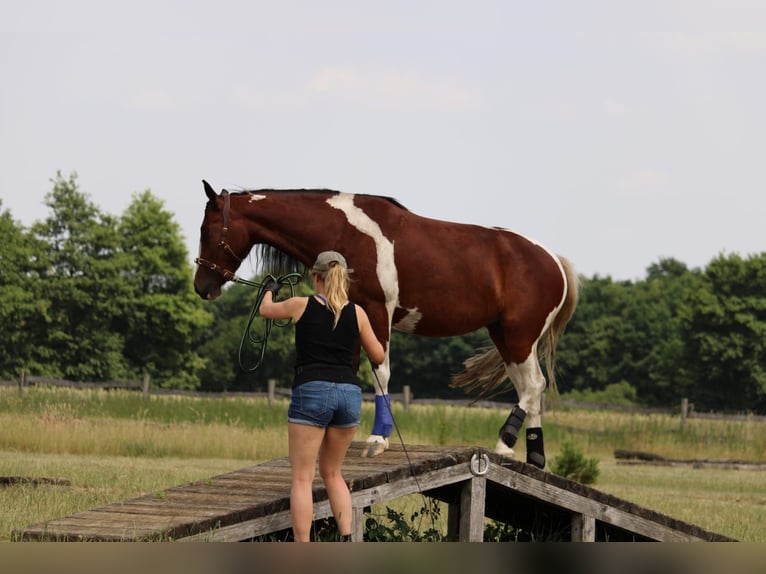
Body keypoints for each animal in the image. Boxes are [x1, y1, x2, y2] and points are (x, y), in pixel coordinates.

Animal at [193, 180, 578, 468]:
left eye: (207, 230)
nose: (202, 287)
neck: (345, 232)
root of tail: (553, 259)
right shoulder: (350, 314)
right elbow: (348, 372)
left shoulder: (377, 311)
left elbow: (380, 371)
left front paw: (378, 439)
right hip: (504, 336)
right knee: (530, 388)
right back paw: (533, 456)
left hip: (519, 336)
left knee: (534, 386)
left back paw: (503, 443)